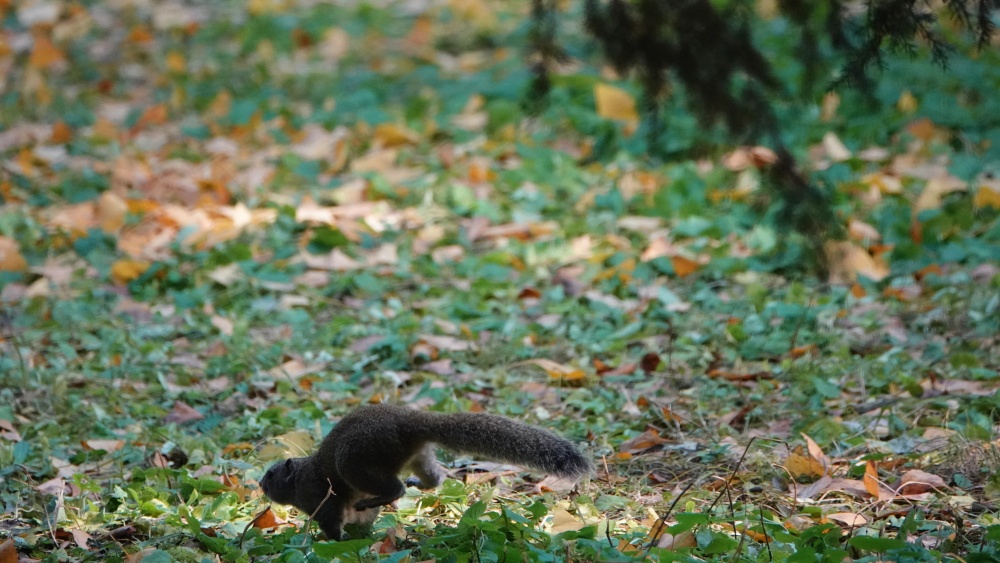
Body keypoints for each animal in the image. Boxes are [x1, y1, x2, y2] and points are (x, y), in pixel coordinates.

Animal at [260, 404, 592, 540]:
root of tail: (409, 423)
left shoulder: (320, 497)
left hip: (356, 463)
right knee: (434, 479)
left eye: (272, 475)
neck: (300, 477)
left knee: (394, 489)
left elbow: (331, 523)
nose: (260, 485)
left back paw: (381, 495)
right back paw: (413, 483)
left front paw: (330, 542)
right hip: (419, 457)